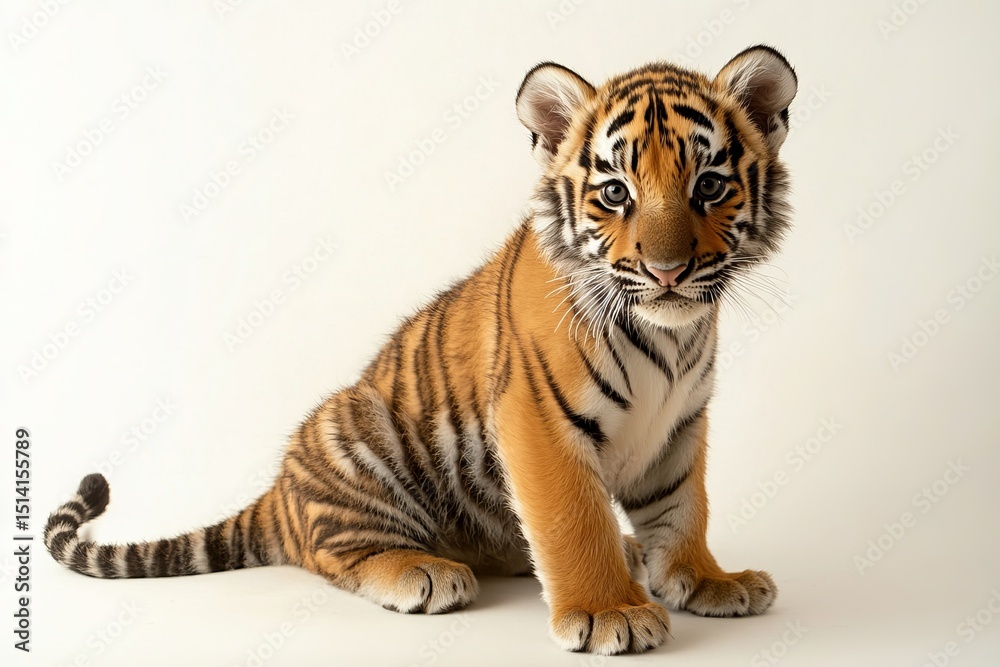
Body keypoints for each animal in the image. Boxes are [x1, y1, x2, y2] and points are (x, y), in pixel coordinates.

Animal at [45, 45, 797, 655]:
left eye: (709, 185)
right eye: (616, 192)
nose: (667, 271)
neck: (671, 334)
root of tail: (277, 494)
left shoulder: (678, 423)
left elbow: (682, 507)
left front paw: (706, 579)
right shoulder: (538, 421)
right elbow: (572, 517)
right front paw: (609, 611)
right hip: (359, 431)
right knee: (335, 549)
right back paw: (423, 571)